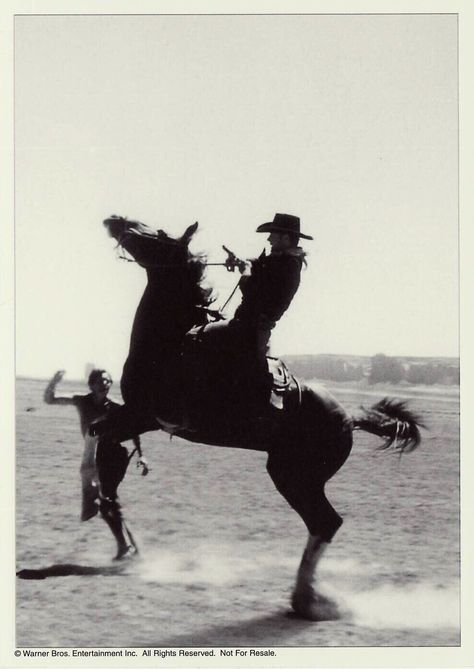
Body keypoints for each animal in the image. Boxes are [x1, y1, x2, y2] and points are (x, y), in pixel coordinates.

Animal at [92, 215, 422, 620]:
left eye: (158, 234)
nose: (115, 220)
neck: (171, 342)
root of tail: (350, 419)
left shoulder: (145, 415)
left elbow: (104, 440)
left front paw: (111, 512)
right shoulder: (135, 417)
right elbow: (102, 439)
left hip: (292, 477)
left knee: (325, 522)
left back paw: (307, 600)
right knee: (324, 523)